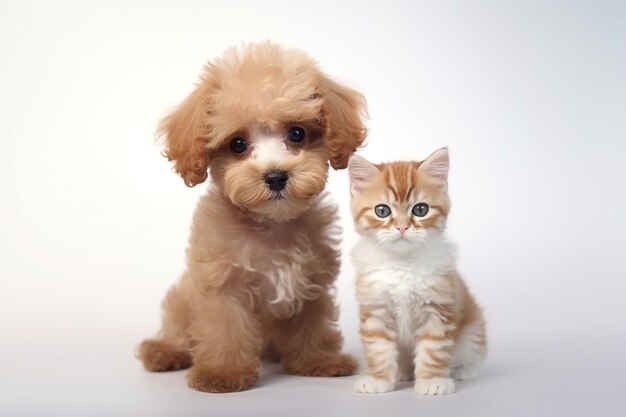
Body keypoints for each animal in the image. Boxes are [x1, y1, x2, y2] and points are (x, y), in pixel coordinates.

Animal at [348, 149, 486, 394]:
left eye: (420, 209)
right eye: (382, 211)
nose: (402, 227)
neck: (402, 263)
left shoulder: (438, 308)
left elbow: (433, 349)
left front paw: (433, 381)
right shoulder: (375, 309)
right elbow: (378, 349)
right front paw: (378, 379)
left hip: (473, 331)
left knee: (473, 354)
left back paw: (462, 371)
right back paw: (403, 372)